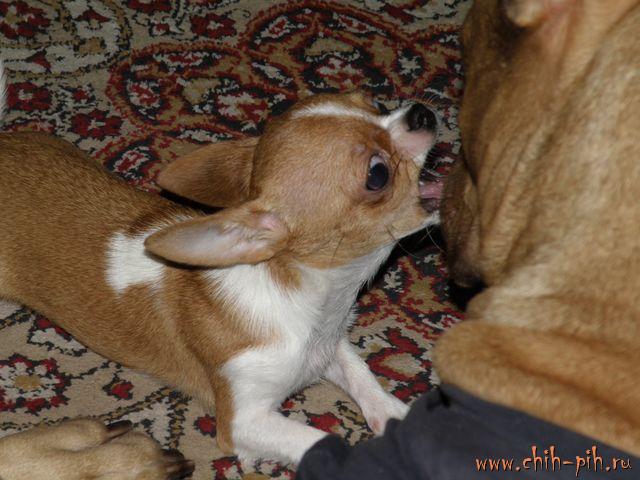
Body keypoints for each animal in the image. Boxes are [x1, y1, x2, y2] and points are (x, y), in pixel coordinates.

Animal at [0, 64, 443, 478]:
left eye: (374, 103)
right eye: (377, 174)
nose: (420, 113)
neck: (312, 300)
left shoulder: (328, 348)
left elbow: (363, 375)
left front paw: (403, 421)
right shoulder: (243, 420)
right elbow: (323, 440)